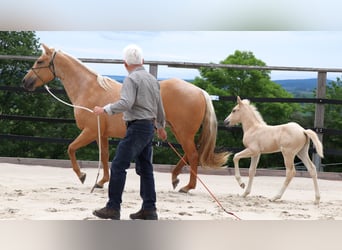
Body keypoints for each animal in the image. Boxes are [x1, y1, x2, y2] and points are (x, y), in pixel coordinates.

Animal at [22, 44, 230, 192]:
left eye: (39, 61)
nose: (25, 82)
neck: (89, 89)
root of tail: (200, 91)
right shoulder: (101, 135)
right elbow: (105, 156)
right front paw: (101, 181)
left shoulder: (90, 131)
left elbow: (71, 148)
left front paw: (82, 176)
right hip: (181, 132)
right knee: (191, 153)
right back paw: (175, 178)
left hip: (182, 132)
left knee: (193, 155)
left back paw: (187, 186)